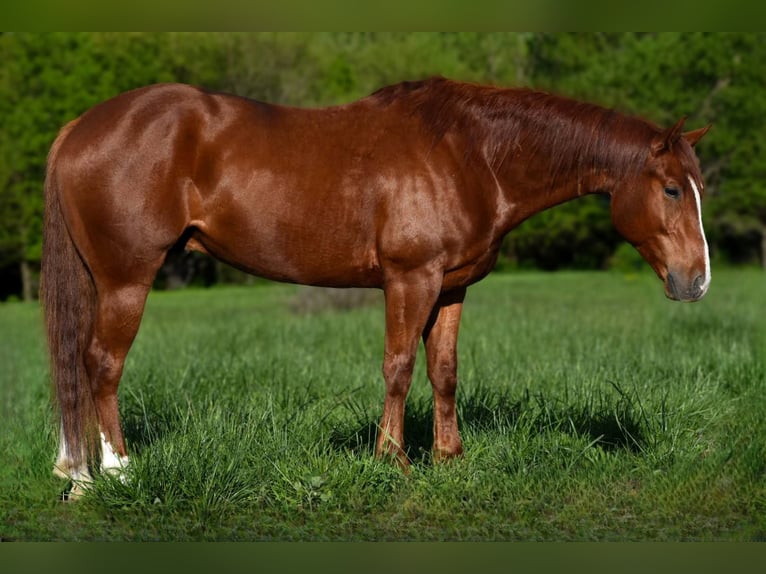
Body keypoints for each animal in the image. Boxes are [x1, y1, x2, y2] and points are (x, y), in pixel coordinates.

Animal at [41, 76, 711, 494]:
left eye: (698, 186)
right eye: (672, 189)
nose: (697, 282)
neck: (472, 155)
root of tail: (80, 126)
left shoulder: (451, 287)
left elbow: (444, 371)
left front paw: (449, 459)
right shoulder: (410, 279)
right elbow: (398, 368)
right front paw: (394, 461)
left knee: (81, 364)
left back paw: (77, 473)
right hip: (127, 279)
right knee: (102, 364)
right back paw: (117, 472)